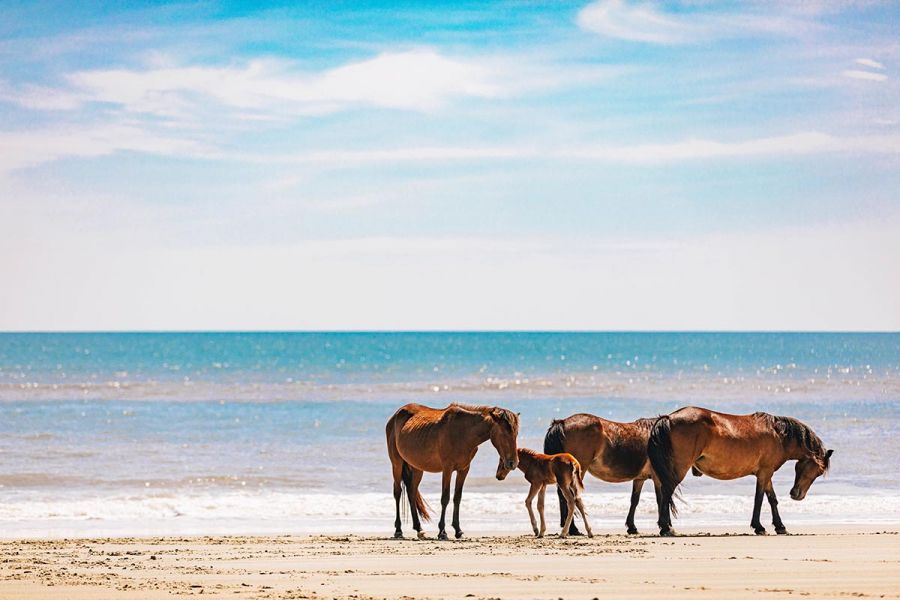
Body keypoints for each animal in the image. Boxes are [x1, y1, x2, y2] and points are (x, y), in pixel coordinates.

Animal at [385, 403, 520, 540]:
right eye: (504, 433)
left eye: (516, 433)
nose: (513, 463)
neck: (464, 432)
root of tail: (396, 415)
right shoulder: (447, 469)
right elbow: (445, 498)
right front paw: (442, 532)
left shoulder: (463, 469)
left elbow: (457, 498)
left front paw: (458, 530)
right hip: (397, 464)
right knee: (397, 492)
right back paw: (398, 530)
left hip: (417, 467)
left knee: (412, 492)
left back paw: (419, 529)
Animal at [648, 406, 833, 536]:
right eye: (818, 471)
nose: (796, 495)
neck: (778, 435)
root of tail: (669, 418)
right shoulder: (764, 473)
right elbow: (759, 499)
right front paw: (759, 527)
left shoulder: (766, 473)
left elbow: (772, 499)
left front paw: (780, 527)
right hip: (679, 469)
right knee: (667, 492)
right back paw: (666, 528)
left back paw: (667, 526)